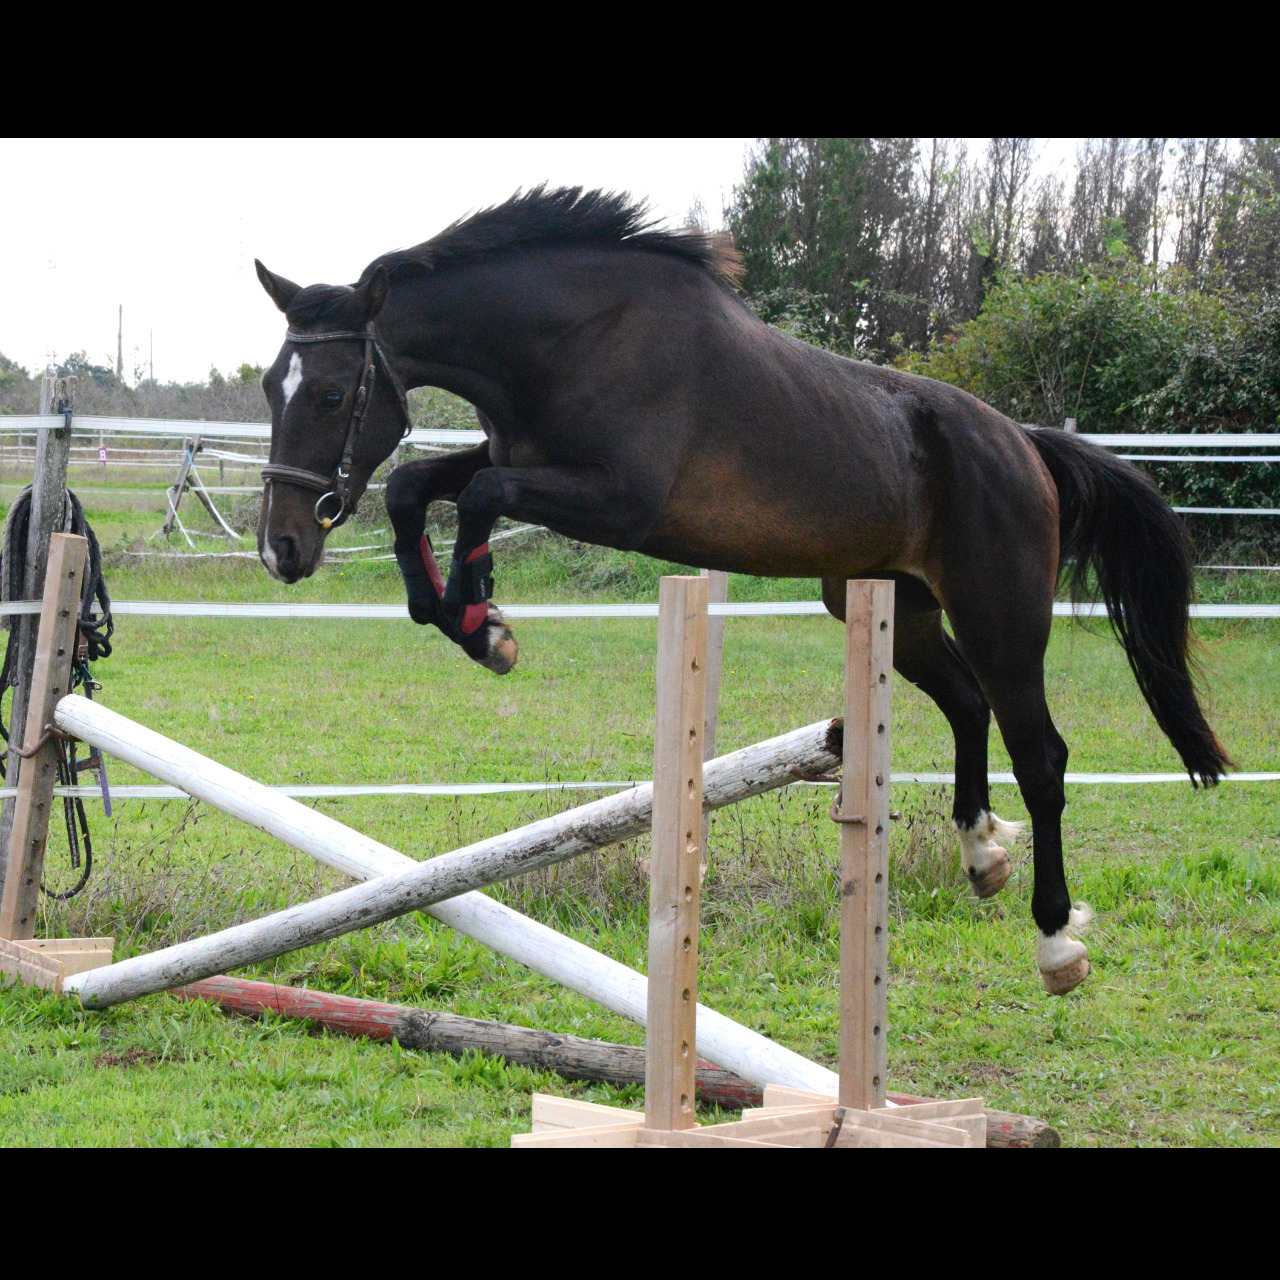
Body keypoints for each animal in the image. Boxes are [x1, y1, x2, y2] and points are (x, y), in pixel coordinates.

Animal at [249, 185, 1228, 993]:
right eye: (268, 386)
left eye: (331, 394)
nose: (283, 548)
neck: (564, 338)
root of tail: (1025, 445)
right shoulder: (521, 455)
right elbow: (416, 486)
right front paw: (464, 618)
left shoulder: (619, 500)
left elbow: (479, 497)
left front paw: (483, 619)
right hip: (891, 604)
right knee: (965, 704)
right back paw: (981, 851)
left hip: (1001, 615)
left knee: (1043, 755)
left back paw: (1057, 940)